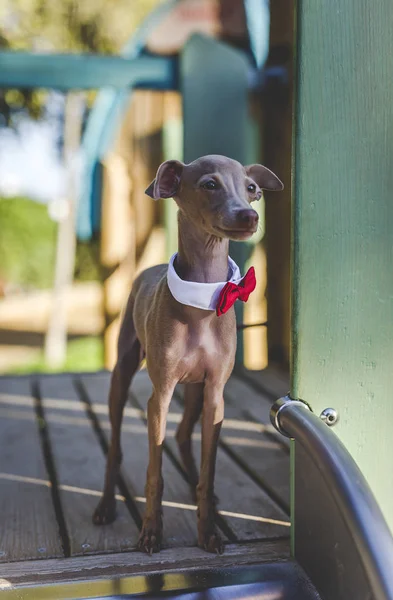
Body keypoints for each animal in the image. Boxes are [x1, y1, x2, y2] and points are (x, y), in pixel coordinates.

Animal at [92, 154, 282, 552]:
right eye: (209, 184)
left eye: (251, 188)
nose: (249, 216)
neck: (205, 298)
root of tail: (148, 267)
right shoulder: (159, 397)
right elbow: (155, 473)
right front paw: (151, 531)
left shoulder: (215, 394)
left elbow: (209, 472)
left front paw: (208, 529)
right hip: (123, 375)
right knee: (115, 448)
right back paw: (105, 506)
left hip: (195, 391)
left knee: (182, 436)